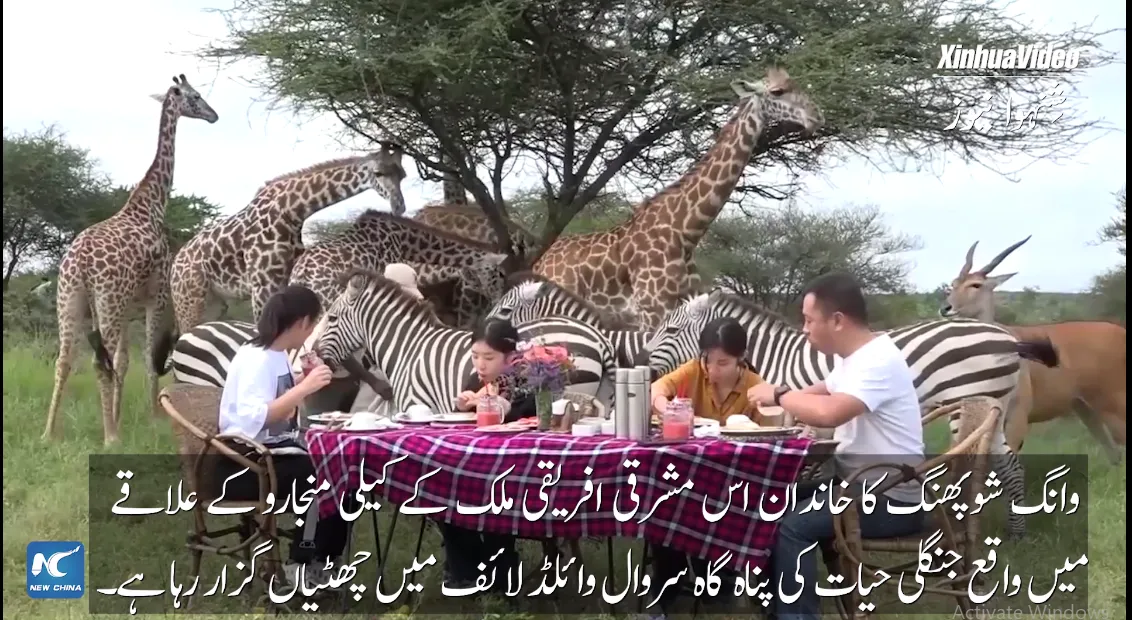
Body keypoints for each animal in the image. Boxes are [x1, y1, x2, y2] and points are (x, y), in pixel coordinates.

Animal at [43, 74, 219, 446]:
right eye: (196, 96)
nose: (214, 116)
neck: (151, 204)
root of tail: (80, 262)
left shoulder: (128, 308)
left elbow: (124, 362)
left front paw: (121, 416)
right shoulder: (157, 295)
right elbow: (148, 360)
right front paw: (151, 417)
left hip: (70, 299)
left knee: (65, 361)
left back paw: (49, 434)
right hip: (106, 301)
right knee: (100, 364)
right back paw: (110, 437)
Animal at [169, 145, 407, 333]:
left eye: (402, 174)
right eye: (378, 172)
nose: (399, 206)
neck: (291, 212)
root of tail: (174, 265)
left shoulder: (284, 277)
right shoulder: (261, 283)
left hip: (214, 304)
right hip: (188, 300)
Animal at [532, 67, 825, 330]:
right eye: (777, 91)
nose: (816, 116)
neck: (686, 231)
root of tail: (541, 261)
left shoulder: (686, 303)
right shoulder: (651, 309)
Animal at [645, 289, 1063, 540]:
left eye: (671, 329)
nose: (643, 368)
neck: (777, 355)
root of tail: (1007, 337)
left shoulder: (793, 416)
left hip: (968, 399)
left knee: (970, 465)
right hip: (995, 402)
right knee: (1010, 466)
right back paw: (1016, 533)